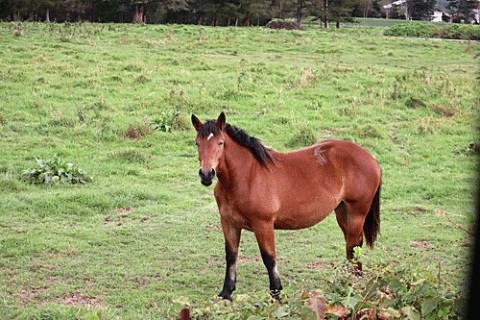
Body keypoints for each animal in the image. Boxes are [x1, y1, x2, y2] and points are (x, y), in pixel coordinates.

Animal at [189, 112, 380, 300]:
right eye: (197, 143)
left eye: (220, 143)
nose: (206, 174)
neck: (246, 176)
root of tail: (370, 158)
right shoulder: (229, 223)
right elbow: (231, 255)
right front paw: (226, 292)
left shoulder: (263, 224)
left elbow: (269, 258)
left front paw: (276, 293)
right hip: (342, 212)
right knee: (352, 247)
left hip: (356, 213)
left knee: (354, 246)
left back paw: (353, 283)